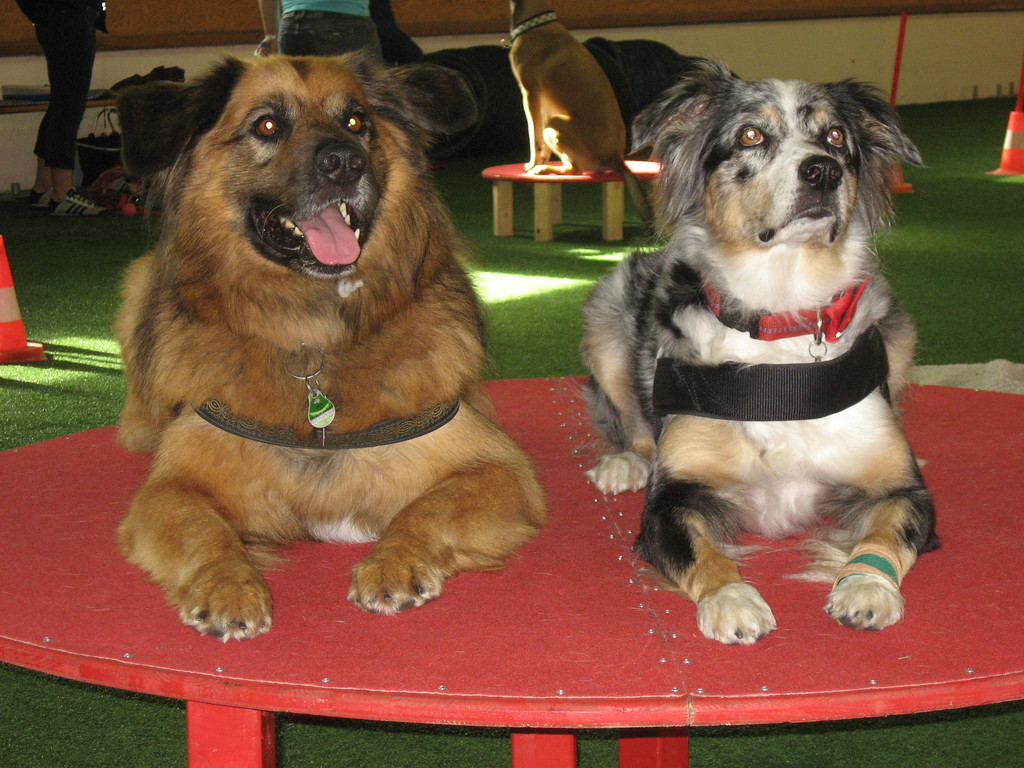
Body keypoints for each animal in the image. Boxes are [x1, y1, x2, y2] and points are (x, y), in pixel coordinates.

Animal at [114, 55, 544, 643]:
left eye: (357, 121)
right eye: (267, 125)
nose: (346, 163)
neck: (314, 341)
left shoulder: (499, 469)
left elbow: (428, 509)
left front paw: (395, 562)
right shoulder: (171, 487)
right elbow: (202, 529)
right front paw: (227, 587)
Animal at [581, 63, 937, 647]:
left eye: (836, 136)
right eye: (750, 135)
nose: (822, 171)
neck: (782, 314)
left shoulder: (901, 489)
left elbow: (889, 531)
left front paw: (867, 587)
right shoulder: (671, 499)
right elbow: (698, 549)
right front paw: (732, 599)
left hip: (900, 332)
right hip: (606, 314)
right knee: (631, 423)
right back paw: (624, 462)